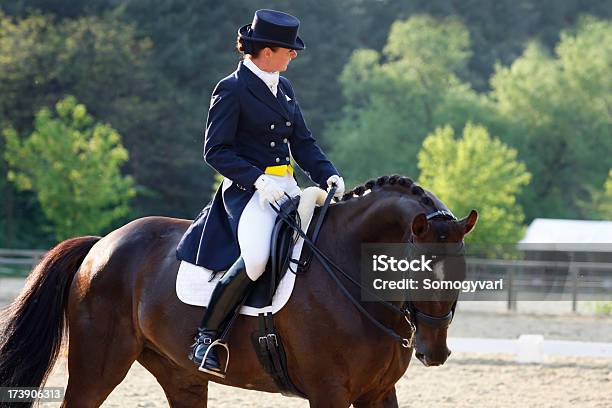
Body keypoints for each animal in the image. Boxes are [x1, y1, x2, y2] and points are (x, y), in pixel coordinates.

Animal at [0, 174, 478, 406]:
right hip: (97, 367)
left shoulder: (378, 392)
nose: (435, 352)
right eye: (417, 270)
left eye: (462, 271)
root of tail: (101, 245)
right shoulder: (329, 392)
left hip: (181, 376)